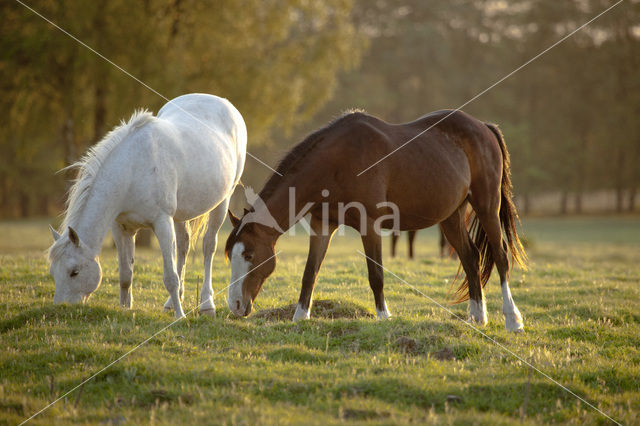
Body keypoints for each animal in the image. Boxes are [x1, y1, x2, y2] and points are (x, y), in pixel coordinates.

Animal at [47, 95, 246, 318]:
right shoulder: (121, 228)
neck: (132, 170)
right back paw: (171, 303)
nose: (61, 309)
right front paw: (125, 309)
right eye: (52, 272)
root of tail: (223, 102)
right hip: (182, 214)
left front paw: (180, 316)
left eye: (74, 272)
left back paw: (206, 304)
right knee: (183, 246)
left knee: (208, 246)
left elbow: (170, 277)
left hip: (223, 201)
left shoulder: (162, 223)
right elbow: (125, 274)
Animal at [224, 108, 524, 332]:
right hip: (451, 217)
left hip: (487, 206)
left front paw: (383, 316)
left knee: (500, 256)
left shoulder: (370, 226)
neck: (337, 161)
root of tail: (483, 127)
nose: (235, 305)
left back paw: (512, 320)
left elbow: (375, 274)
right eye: (231, 255)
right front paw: (300, 317)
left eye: (249, 254)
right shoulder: (322, 226)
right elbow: (310, 272)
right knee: (471, 258)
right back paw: (477, 317)